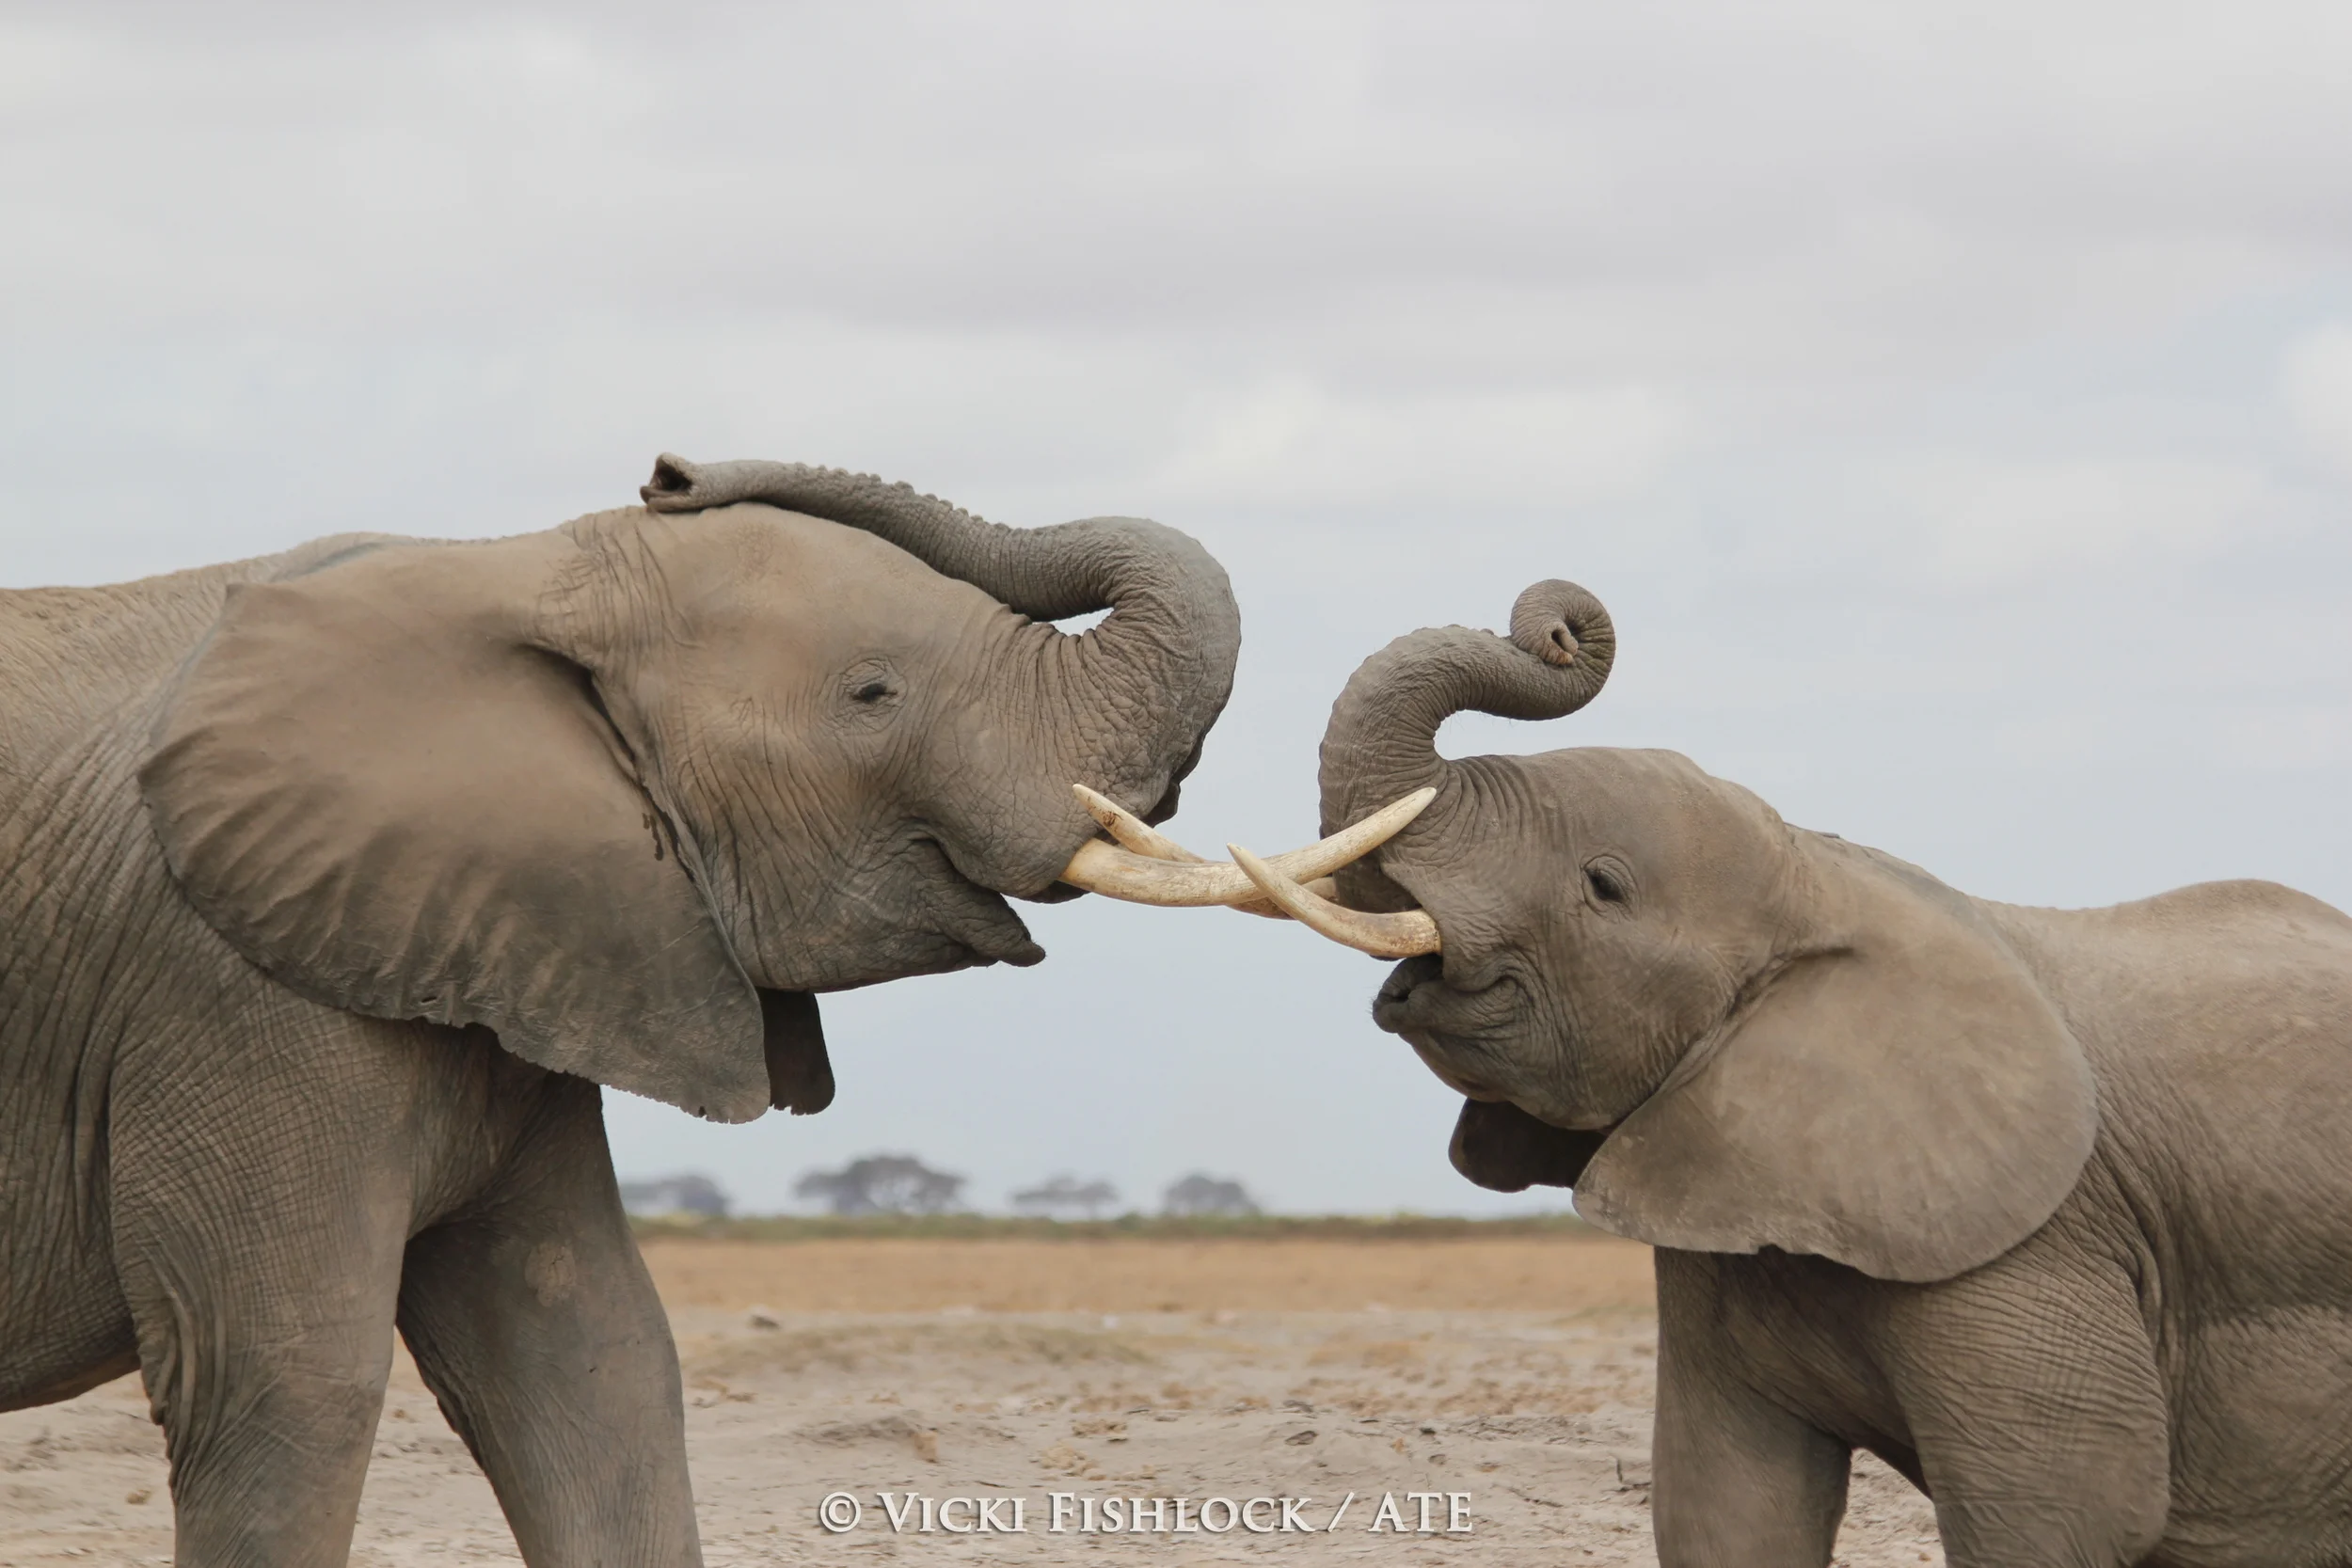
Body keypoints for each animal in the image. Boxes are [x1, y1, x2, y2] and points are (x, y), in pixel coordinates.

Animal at [0, 455, 1266, 1566]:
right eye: (872, 694)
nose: (670, 473)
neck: (514, 565)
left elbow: (590, 1353)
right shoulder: (230, 989)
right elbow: (287, 1380)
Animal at [1205, 580, 2352, 1568]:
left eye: (1603, 885)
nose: (1558, 630)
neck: (1824, 874)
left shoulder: (2037, 1240)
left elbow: (2069, 1513)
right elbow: (1728, 1505)